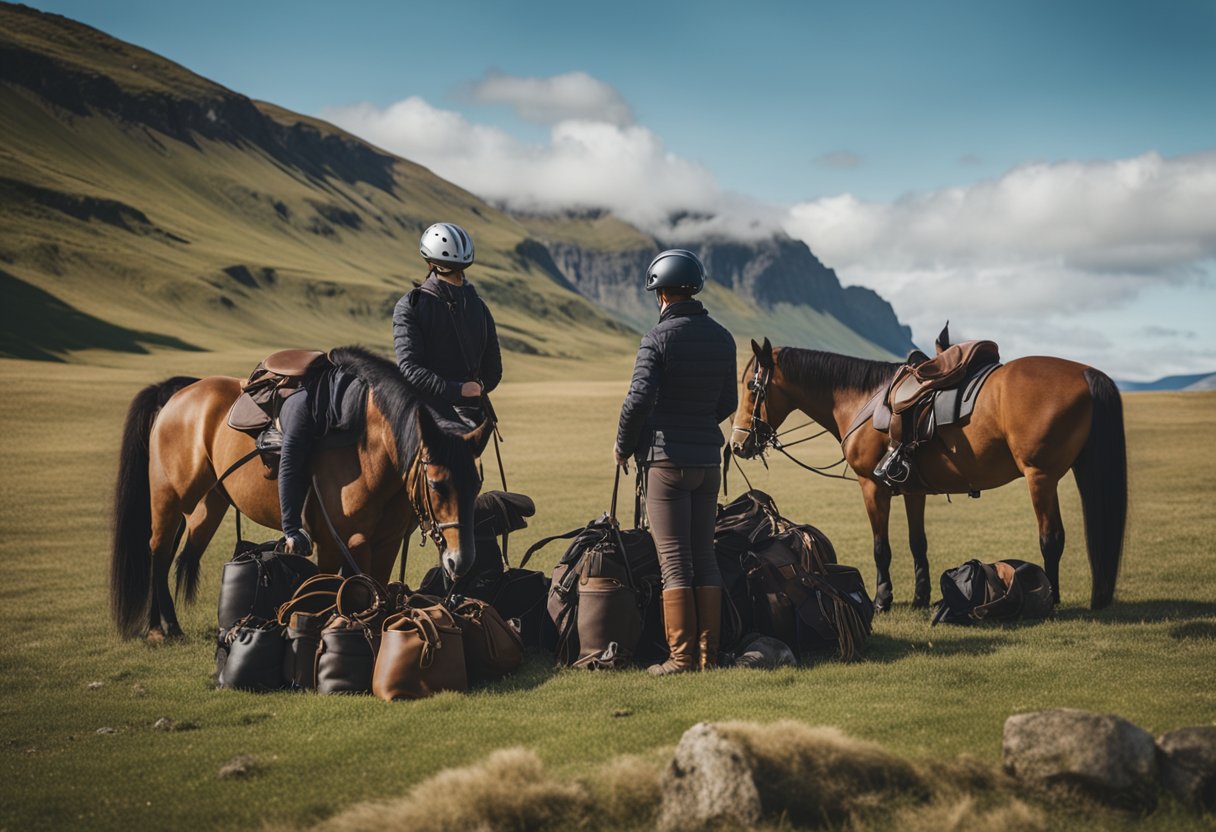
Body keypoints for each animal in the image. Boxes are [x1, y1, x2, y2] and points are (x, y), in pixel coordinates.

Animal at [111, 347, 491, 642]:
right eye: (437, 484)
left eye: (476, 485)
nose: (461, 561)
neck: (370, 445)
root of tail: (179, 391)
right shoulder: (340, 542)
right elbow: (338, 588)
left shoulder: (386, 543)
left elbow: (377, 590)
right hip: (167, 497)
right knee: (157, 551)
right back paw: (160, 629)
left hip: (208, 504)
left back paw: (166, 624)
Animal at [724, 338, 1123, 610]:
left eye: (751, 387)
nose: (738, 444)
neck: (860, 397)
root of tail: (1087, 372)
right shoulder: (912, 489)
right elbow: (918, 544)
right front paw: (920, 596)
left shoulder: (872, 486)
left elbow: (881, 548)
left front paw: (882, 598)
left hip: (1040, 477)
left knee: (1051, 538)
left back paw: (1050, 599)